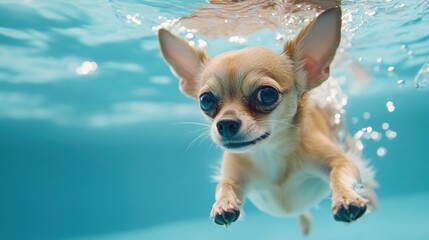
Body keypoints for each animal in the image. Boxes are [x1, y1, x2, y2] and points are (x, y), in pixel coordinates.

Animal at [156, 7, 374, 234]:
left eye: (267, 94)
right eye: (205, 100)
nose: (225, 124)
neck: (269, 153)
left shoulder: (339, 160)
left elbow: (340, 173)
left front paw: (344, 197)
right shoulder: (233, 176)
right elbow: (223, 185)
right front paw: (223, 203)